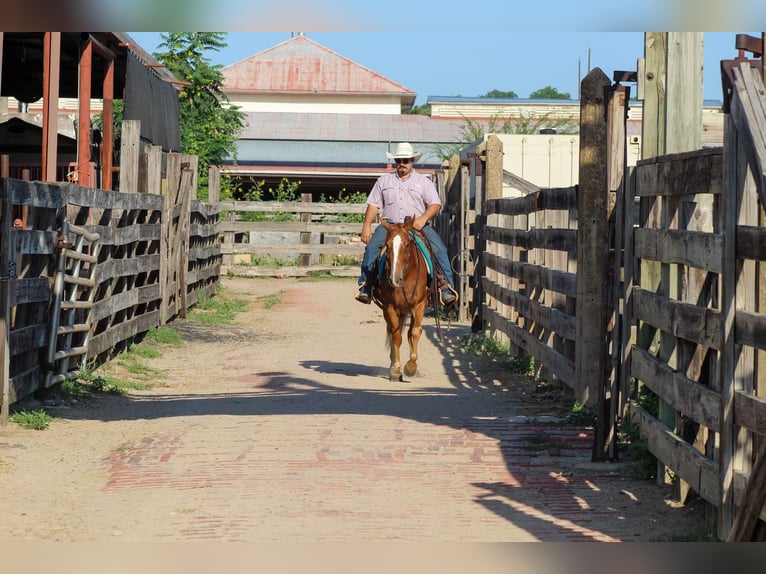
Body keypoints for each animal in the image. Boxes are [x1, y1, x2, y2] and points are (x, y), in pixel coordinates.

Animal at [372, 220, 432, 382]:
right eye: (387, 245)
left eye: (406, 244)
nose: (394, 279)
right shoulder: (390, 307)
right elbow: (396, 336)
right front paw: (396, 369)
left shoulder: (419, 305)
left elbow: (415, 332)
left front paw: (411, 367)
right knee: (392, 331)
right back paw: (393, 364)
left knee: (410, 331)